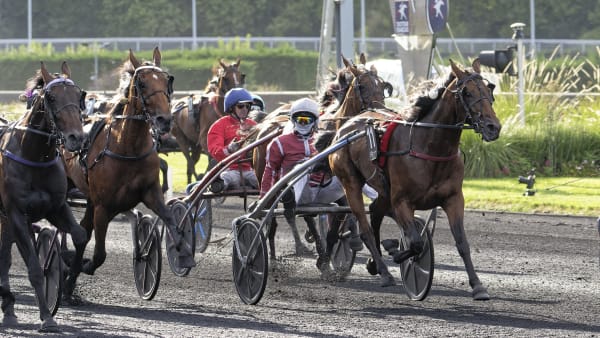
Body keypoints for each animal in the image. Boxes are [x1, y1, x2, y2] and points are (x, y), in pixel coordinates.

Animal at [0, 60, 88, 330]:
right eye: (50, 96)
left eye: (80, 95)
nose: (76, 138)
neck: (34, 155)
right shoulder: (17, 213)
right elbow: (35, 269)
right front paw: (47, 317)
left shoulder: (56, 207)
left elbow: (80, 236)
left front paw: (68, 281)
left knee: (5, 255)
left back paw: (8, 308)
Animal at [61, 46, 193, 298]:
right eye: (141, 83)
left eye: (167, 80)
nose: (164, 120)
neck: (128, 147)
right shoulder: (103, 206)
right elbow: (99, 254)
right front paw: (84, 265)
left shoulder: (150, 193)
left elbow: (170, 219)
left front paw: (184, 253)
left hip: (90, 198)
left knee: (83, 231)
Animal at [328, 59, 502, 300]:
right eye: (466, 92)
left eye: (489, 89)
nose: (493, 127)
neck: (430, 145)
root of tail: (348, 124)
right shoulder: (402, 201)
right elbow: (417, 243)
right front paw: (401, 256)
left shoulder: (453, 199)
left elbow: (462, 242)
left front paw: (478, 286)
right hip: (350, 182)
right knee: (365, 228)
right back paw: (383, 271)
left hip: (384, 188)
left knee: (375, 211)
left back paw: (375, 262)